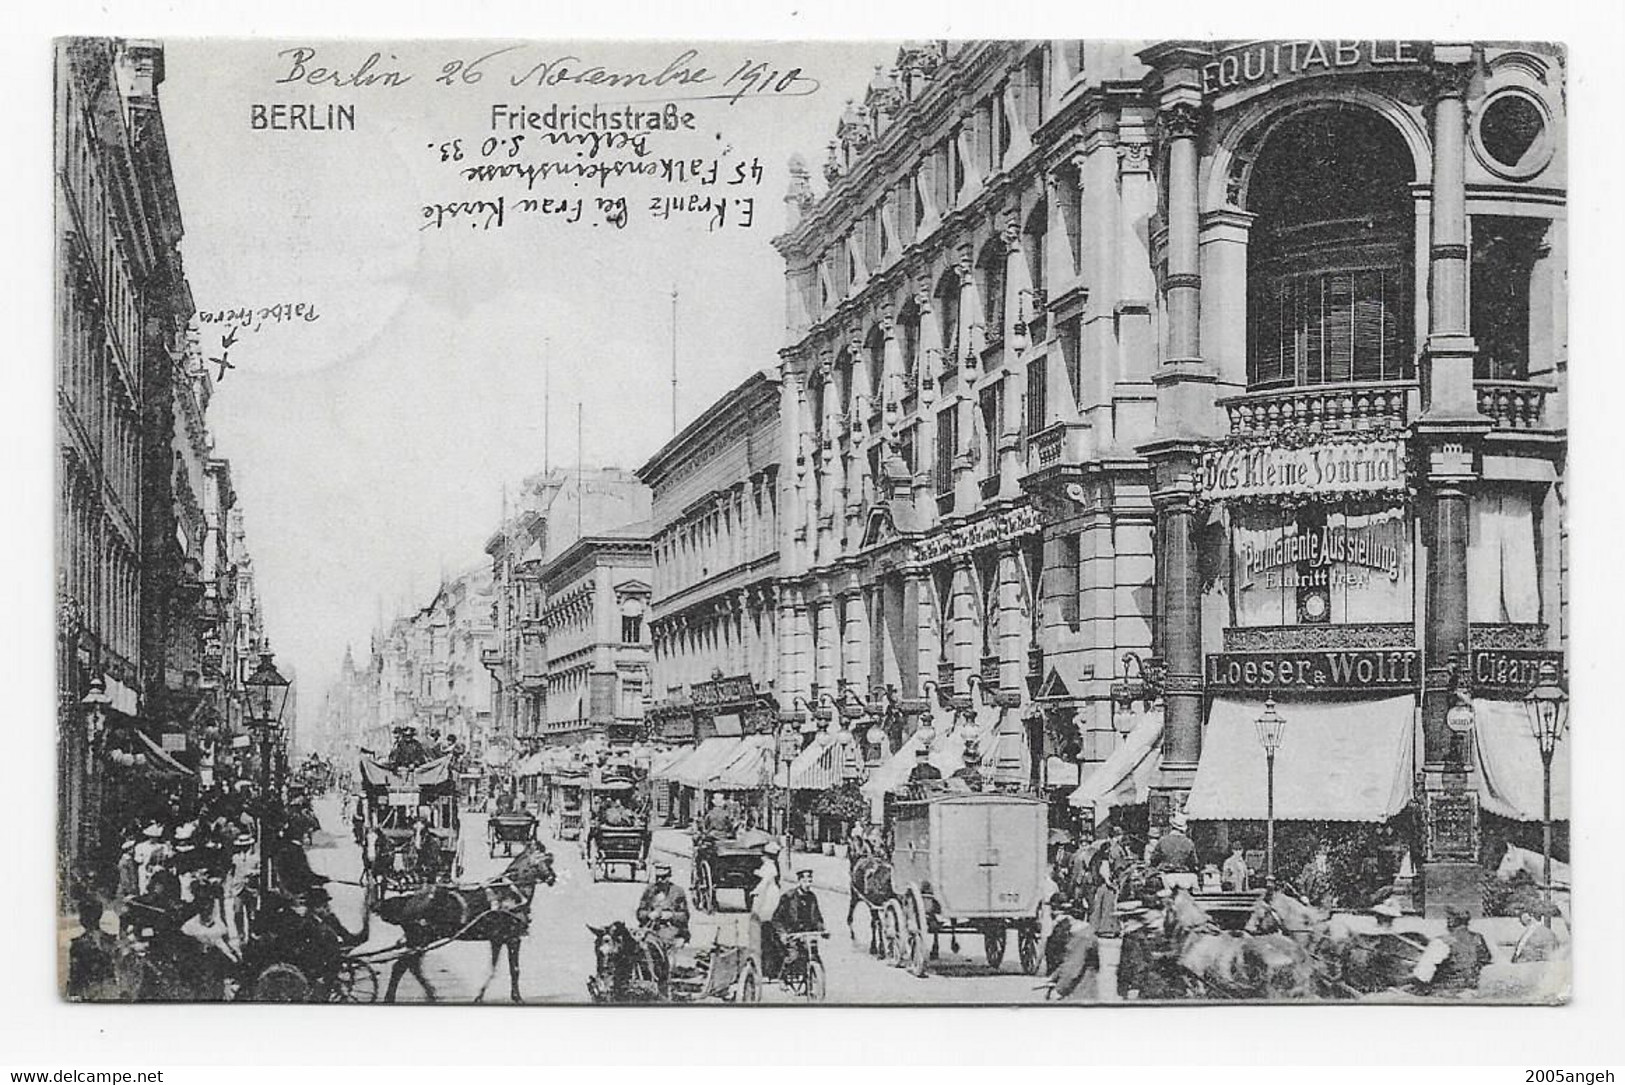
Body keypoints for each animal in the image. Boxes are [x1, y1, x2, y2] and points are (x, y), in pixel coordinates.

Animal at [373, 838, 559, 1000]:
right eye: (548, 859)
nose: (553, 878)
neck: (511, 892)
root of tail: (408, 899)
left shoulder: (498, 939)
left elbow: (492, 969)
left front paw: (480, 996)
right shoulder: (513, 938)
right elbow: (515, 969)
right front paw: (517, 997)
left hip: (419, 942)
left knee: (411, 967)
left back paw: (430, 993)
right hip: (420, 940)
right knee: (401, 966)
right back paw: (395, 996)